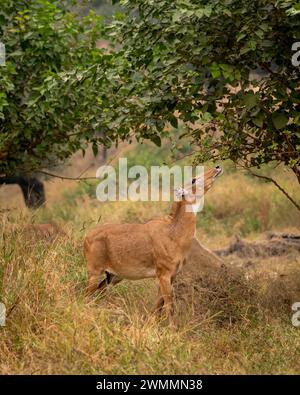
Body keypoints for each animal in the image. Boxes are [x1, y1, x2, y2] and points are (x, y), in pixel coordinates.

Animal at [83, 166, 221, 324]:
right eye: (193, 179)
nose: (217, 168)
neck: (173, 233)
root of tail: (86, 237)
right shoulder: (163, 274)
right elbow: (169, 306)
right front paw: (171, 329)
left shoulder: (172, 275)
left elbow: (158, 305)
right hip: (95, 272)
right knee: (86, 296)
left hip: (113, 275)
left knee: (98, 292)